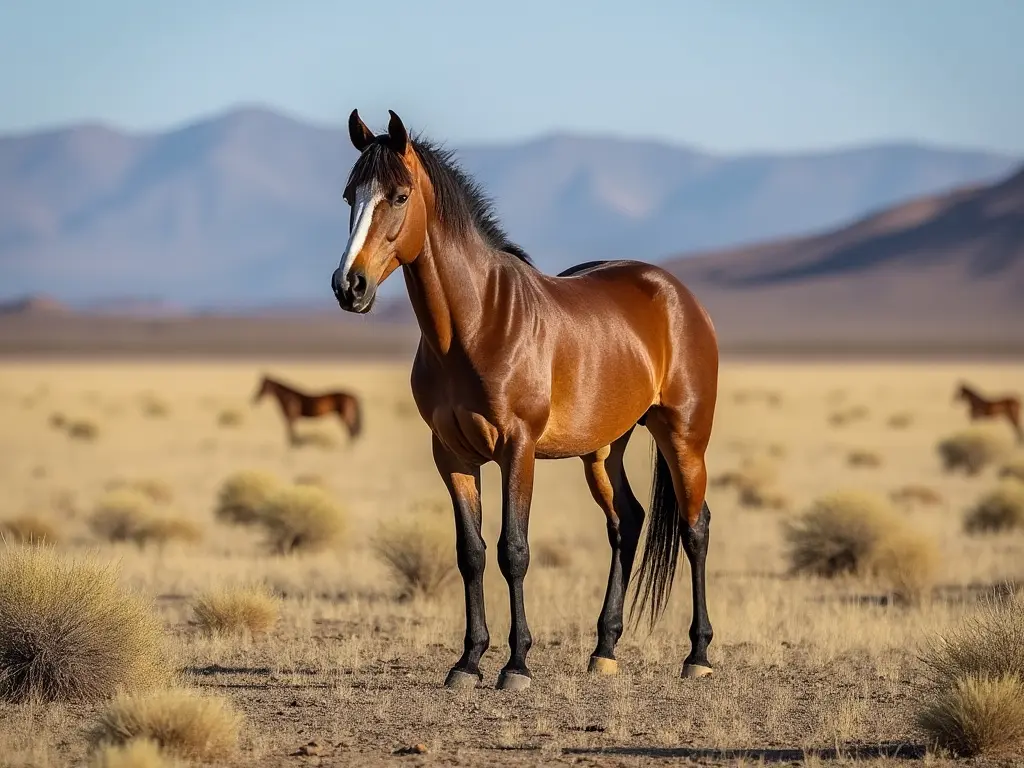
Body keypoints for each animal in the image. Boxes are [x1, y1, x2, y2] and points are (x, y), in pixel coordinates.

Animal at [331, 111, 716, 696]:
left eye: (398, 196)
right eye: (350, 195)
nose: (348, 285)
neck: (476, 324)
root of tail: (677, 294)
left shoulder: (518, 448)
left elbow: (514, 550)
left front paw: (516, 665)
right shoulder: (452, 456)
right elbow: (471, 553)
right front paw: (468, 661)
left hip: (684, 438)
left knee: (695, 529)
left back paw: (698, 655)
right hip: (603, 450)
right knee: (627, 522)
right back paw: (604, 650)